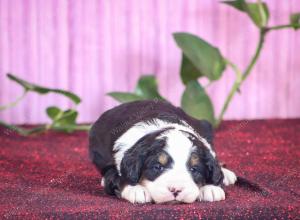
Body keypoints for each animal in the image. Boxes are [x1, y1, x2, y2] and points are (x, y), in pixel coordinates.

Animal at [89, 100, 237, 204]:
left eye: (194, 169)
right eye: (157, 167)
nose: (176, 190)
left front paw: (211, 188)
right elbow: (119, 178)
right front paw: (136, 190)